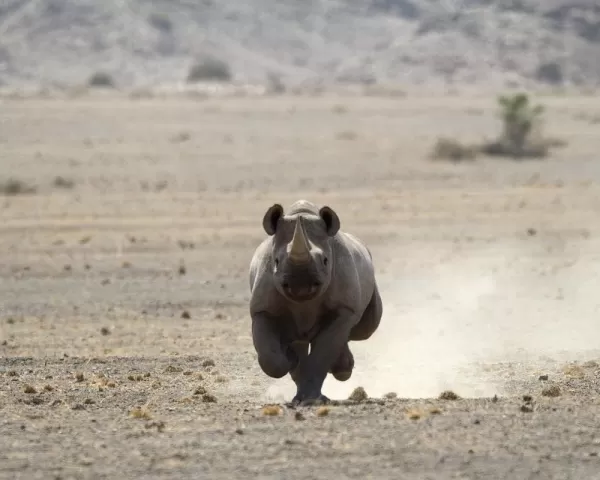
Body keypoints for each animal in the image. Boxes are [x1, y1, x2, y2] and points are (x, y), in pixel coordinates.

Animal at [250, 199, 384, 404]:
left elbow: (324, 351)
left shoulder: (344, 308)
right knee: (299, 339)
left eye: (326, 261)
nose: (301, 286)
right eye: (276, 261)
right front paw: (290, 358)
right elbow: (270, 359)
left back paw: (342, 369)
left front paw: (310, 400)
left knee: (363, 329)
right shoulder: (261, 309)